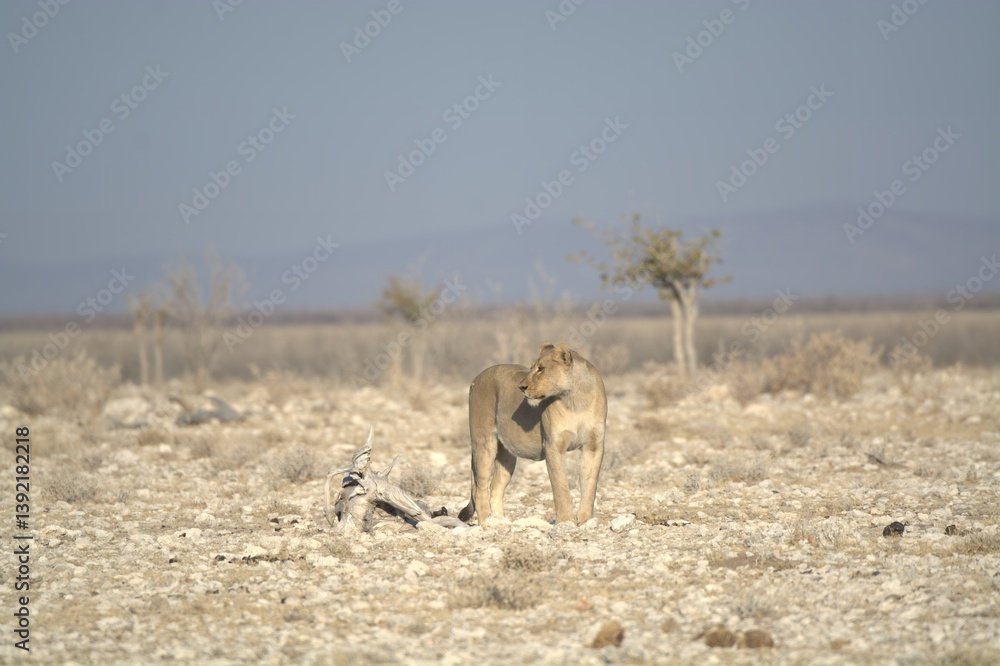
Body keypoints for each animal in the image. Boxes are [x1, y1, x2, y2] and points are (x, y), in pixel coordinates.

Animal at [457, 342, 607, 525]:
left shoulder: (593, 446)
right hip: (484, 444)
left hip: (507, 456)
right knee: (480, 489)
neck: (576, 399)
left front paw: (585, 520)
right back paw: (488, 524)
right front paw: (566, 521)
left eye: (541, 369)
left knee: (495, 487)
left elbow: (590, 486)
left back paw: (501, 521)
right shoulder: (553, 446)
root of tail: (477, 377)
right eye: (531, 368)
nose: (521, 387)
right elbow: (561, 488)